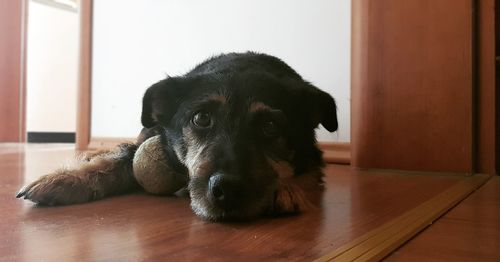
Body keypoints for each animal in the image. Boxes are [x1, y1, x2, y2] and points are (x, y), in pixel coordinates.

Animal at [16, 51, 336, 221]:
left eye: (270, 126)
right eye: (201, 118)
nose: (227, 189)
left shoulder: (313, 157)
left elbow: (305, 173)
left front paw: (286, 188)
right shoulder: (158, 137)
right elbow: (118, 159)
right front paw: (65, 180)